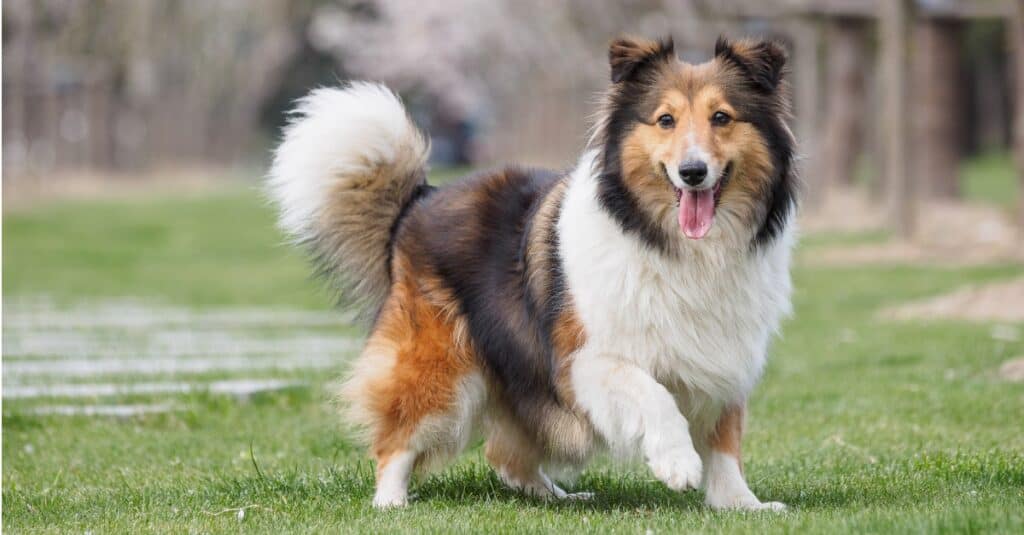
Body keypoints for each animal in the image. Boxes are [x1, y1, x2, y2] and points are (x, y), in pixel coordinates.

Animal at [268, 35, 794, 510]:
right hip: (440, 367)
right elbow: (653, 393)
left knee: (507, 455)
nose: (693, 172)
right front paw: (677, 462)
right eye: (666, 120)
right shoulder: (586, 359)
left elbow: (725, 441)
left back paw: (559, 495)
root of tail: (419, 199)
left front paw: (742, 505)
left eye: (721, 117)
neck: (671, 242)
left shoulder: (722, 355)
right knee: (397, 438)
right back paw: (391, 502)